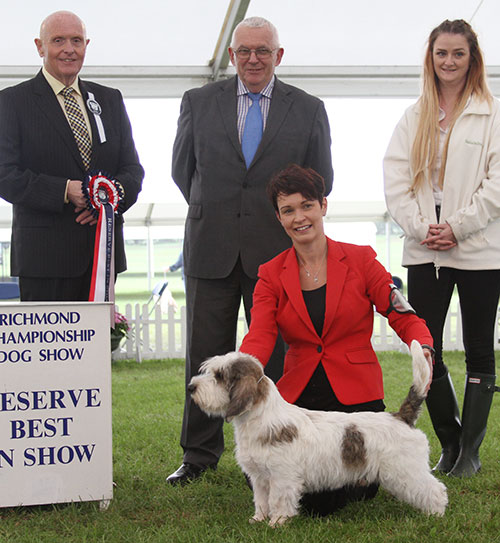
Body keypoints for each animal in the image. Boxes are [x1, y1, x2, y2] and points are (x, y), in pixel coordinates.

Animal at [188, 342, 446, 524]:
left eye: (219, 376)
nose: (191, 387)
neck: (259, 419)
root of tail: (402, 416)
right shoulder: (260, 477)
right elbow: (261, 501)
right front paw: (258, 520)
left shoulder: (282, 477)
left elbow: (279, 500)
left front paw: (276, 523)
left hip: (407, 471)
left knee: (436, 489)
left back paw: (436, 514)